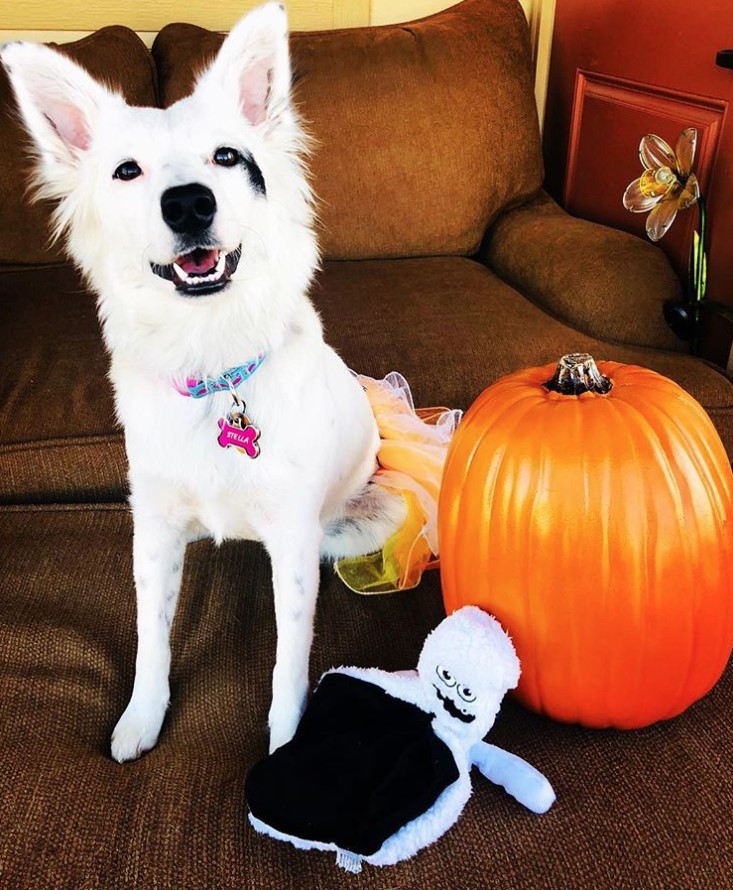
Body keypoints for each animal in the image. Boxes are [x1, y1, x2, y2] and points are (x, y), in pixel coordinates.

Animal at [2, 3, 404, 760]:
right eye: (126, 171)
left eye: (226, 157)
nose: (188, 203)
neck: (213, 364)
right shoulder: (154, 531)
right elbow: (151, 637)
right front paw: (143, 715)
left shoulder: (291, 546)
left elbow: (286, 662)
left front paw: (286, 749)